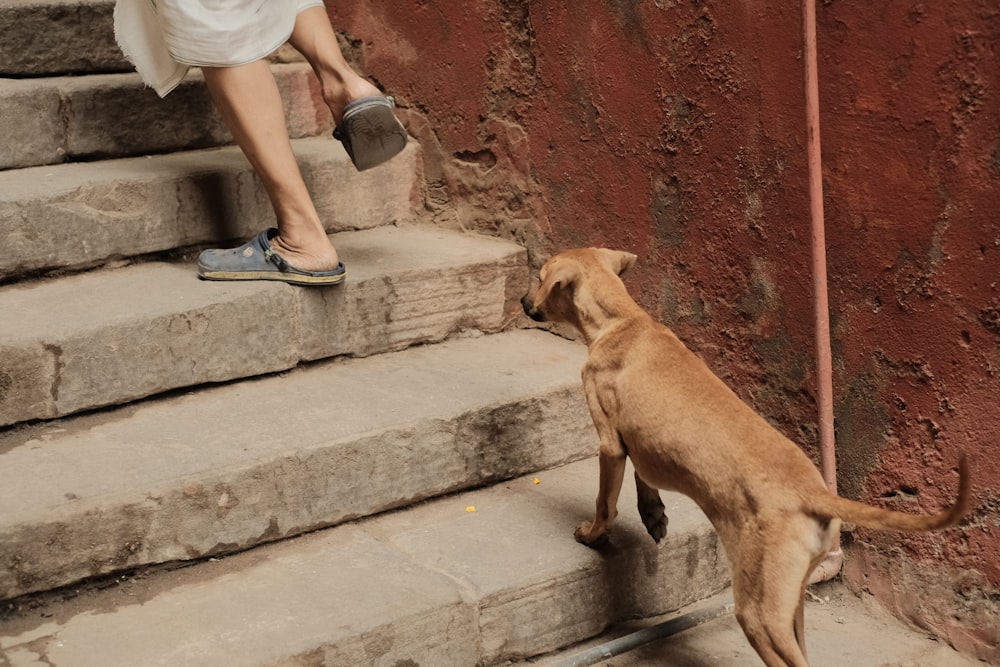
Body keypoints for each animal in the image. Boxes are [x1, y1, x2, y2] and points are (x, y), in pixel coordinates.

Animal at [520, 249, 972, 667]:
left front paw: (592, 534)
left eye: (539, 277)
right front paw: (653, 514)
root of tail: (814, 493)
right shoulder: (638, 443)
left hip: (758, 612)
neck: (621, 320)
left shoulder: (610, 441)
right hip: (792, 601)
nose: (523, 301)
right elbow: (643, 476)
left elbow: (605, 503)